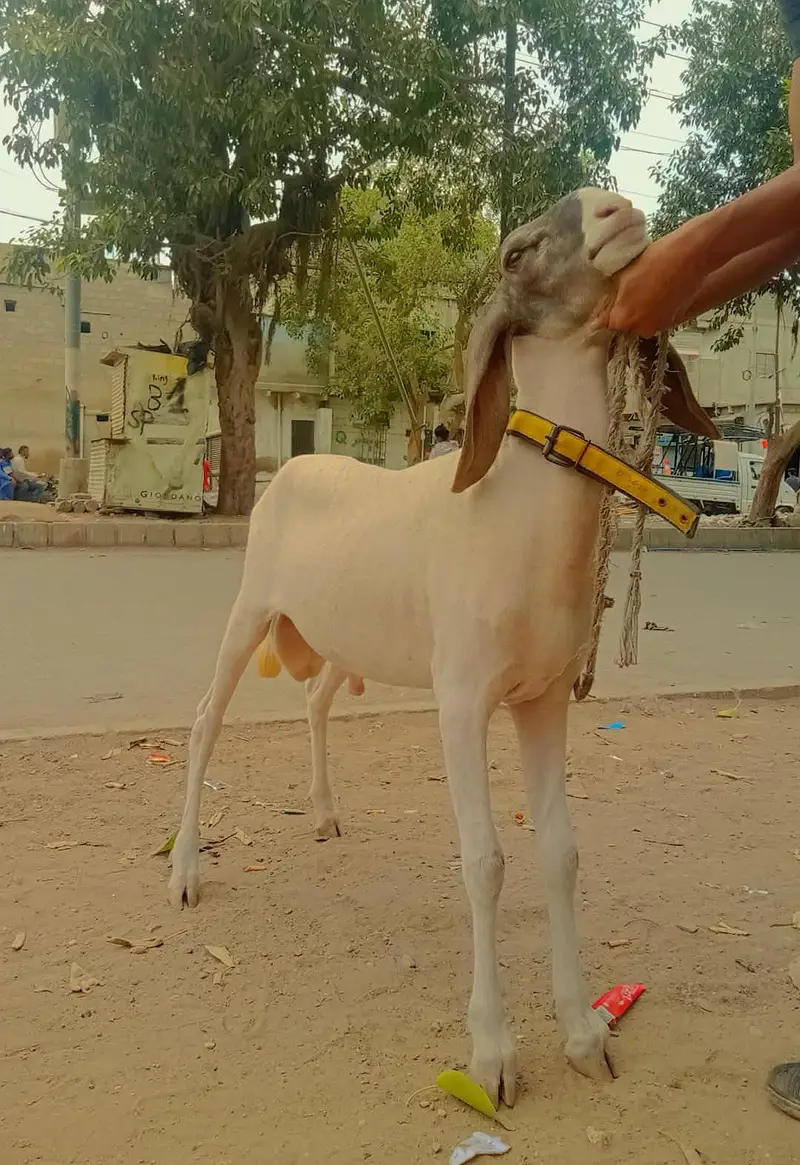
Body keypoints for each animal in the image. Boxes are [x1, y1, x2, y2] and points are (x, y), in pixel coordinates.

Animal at [167, 188, 713, 1107]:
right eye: (517, 251)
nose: (616, 207)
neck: (519, 517)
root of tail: (291, 470)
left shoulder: (543, 697)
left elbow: (561, 852)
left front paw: (584, 1034)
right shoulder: (463, 696)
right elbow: (486, 859)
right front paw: (493, 1053)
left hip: (344, 637)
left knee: (315, 698)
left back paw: (324, 811)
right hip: (250, 608)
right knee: (206, 717)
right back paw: (182, 873)